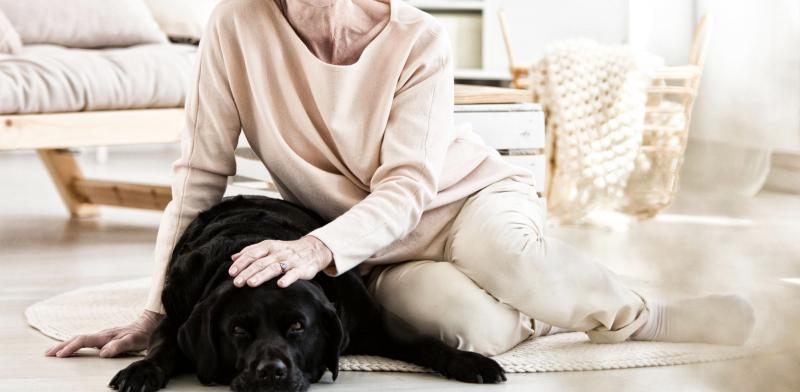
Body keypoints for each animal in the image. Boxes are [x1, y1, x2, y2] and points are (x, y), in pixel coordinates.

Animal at [108, 194, 504, 390]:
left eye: (298, 327)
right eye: (237, 330)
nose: (271, 372)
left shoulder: (373, 321)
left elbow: (425, 340)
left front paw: (471, 361)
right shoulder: (176, 313)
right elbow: (162, 346)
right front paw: (141, 370)